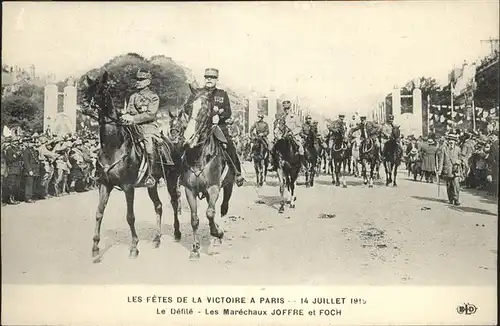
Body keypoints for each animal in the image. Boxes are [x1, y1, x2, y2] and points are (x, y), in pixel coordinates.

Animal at [81, 72, 183, 262]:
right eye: (88, 89)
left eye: (101, 90)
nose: (84, 106)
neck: (114, 146)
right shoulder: (104, 185)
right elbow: (99, 213)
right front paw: (95, 249)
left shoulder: (128, 187)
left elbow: (130, 217)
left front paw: (134, 247)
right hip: (152, 184)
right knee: (158, 206)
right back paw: (157, 239)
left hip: (172, 179)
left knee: (174, 202)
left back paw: (177, 232)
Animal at [170, 85, 234, 262]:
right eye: (188, 108)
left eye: (206, 109)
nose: (188, 139)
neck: (199, 155)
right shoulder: (189, 190)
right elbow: (194, 219)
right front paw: (195, 249)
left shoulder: (213, 188)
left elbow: (210, 213)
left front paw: (217, 233)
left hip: (227, 187)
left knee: (222, 208)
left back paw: (216, 238)